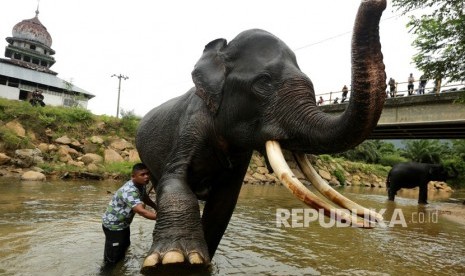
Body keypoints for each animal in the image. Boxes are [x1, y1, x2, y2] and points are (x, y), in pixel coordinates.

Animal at [136, 0, 386, 272]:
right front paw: (174, 258)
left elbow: (223, 204)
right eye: (263, 83)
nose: (377, 3)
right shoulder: (192, 122)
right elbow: (174, 179)